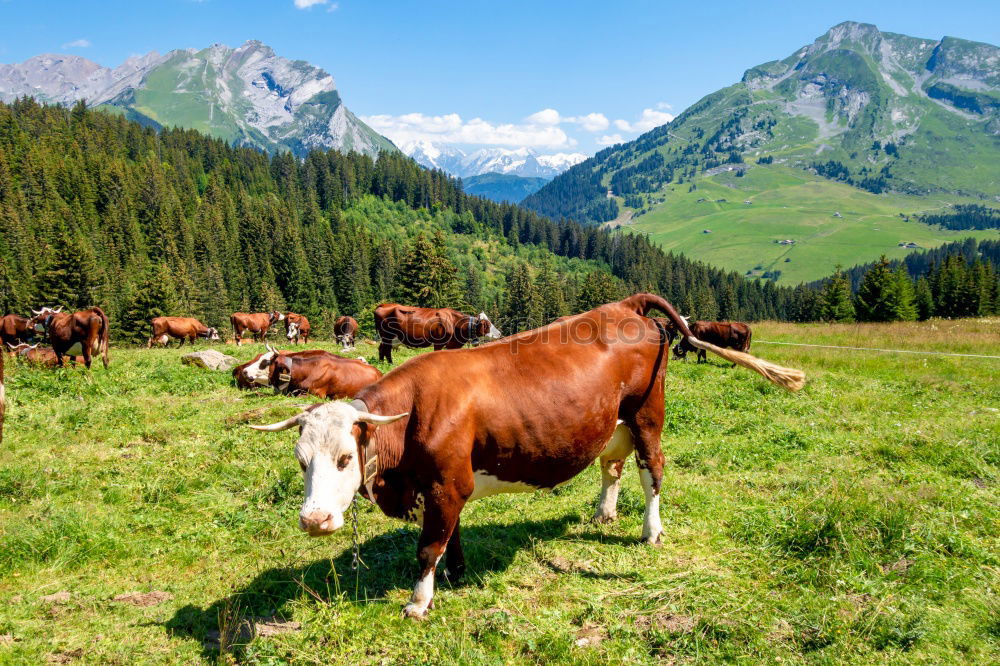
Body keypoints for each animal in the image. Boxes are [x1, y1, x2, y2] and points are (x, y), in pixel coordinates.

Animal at [252, 294, 804, 616]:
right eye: (301, 460)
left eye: (346, 457)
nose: (314, 520)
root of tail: (625, 305)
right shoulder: (447, 487)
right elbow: (450, 536)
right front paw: (455, 573)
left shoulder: (446, 485)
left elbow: (428, 546)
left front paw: (418, 602)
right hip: (611, 423)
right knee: (611, 465)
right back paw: (604, 512)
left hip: (648, 414)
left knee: (653, 472)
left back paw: (651, 531)